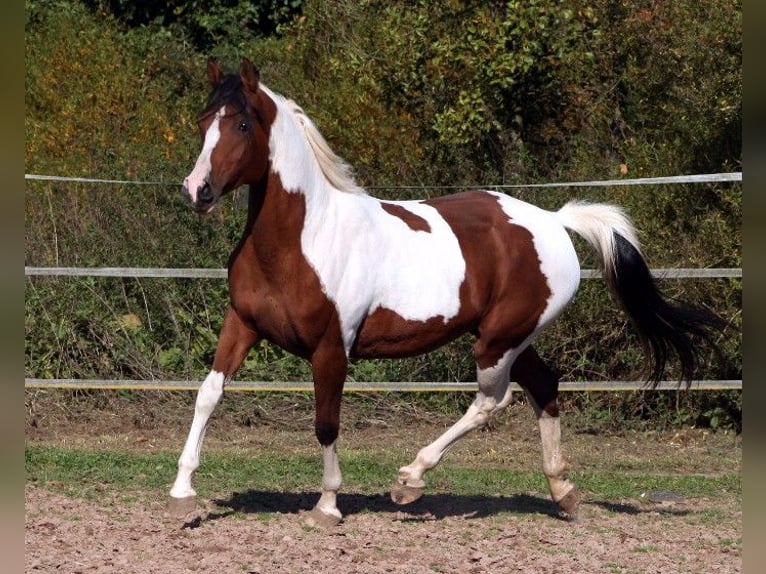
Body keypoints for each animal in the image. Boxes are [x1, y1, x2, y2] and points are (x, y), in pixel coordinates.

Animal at [168, 58, 725, 527]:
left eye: (242, 125)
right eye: (202, 121)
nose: (197, 191)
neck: (302, 240)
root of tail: (554, 221)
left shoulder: (331, 348)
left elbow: (326, 423)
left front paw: (327, 505)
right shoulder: (242, 323)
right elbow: (208, 393)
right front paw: (182, 491)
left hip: (498, 341)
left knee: (492, 400)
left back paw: (411, 480)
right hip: (512, 338)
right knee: (544, 389)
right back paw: (564, 493)